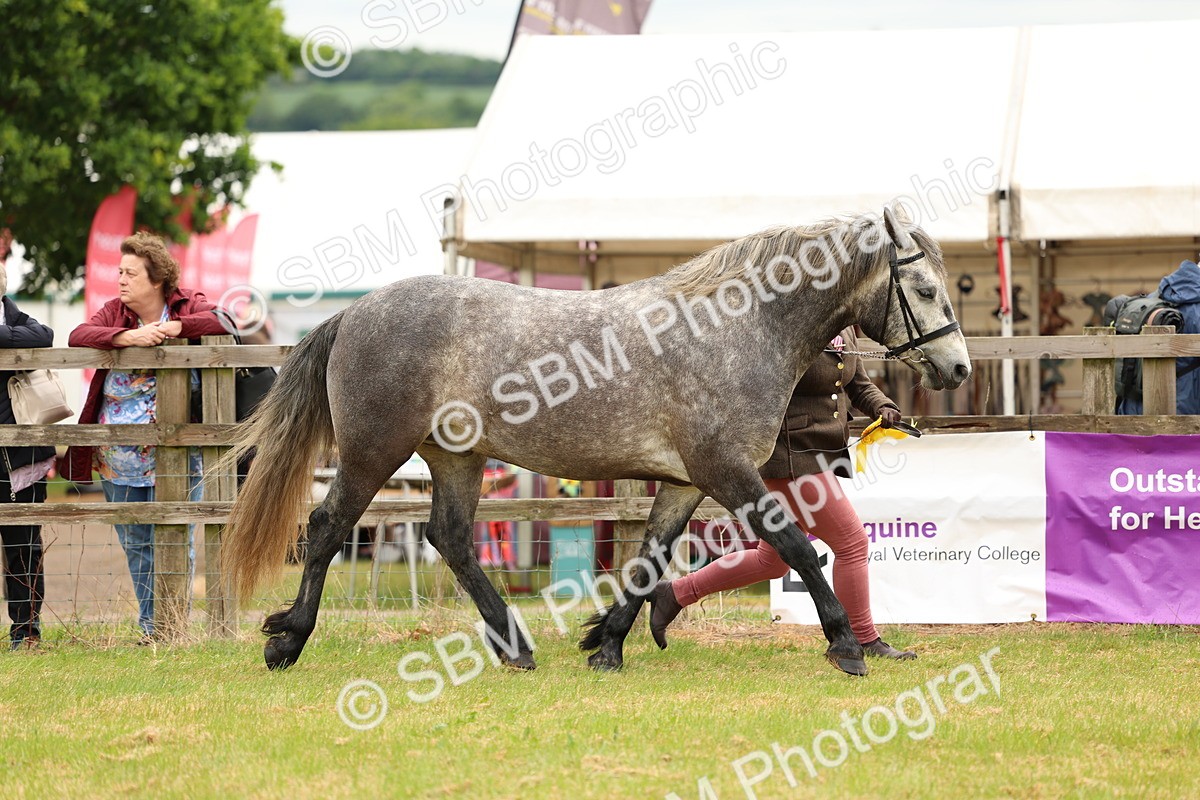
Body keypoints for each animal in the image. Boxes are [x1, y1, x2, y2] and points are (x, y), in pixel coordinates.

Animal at [222, 205, 970, 677]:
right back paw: (287, 641)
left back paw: (515, 647)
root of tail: (355, 312)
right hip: (373, 452)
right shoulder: (726, 471)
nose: (958, 367)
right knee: (326, 529)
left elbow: (648, 563)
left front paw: (606, 646)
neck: (738, 327)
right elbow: (797, 548)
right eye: (923, 288)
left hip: (455, 457)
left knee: (451, 538)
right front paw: (846, 646)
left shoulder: (685, 482)